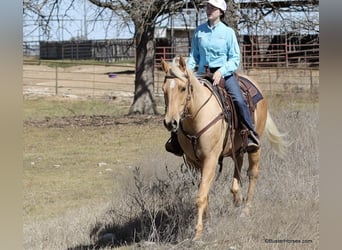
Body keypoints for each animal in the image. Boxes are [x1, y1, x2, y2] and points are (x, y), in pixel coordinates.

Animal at [160, 56, 286, 240]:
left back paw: (246, 210)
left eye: (183, 88)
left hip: (255, 148)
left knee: (252, 174)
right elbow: (205, 194)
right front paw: (208, 224)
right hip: (237, 146)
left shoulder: (210, 160)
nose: (170, 122)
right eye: (163, 90)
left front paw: (198, 233)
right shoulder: (193, 163)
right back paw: (237, 198)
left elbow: (200, 196)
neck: (198, 117)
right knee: (238, 167)